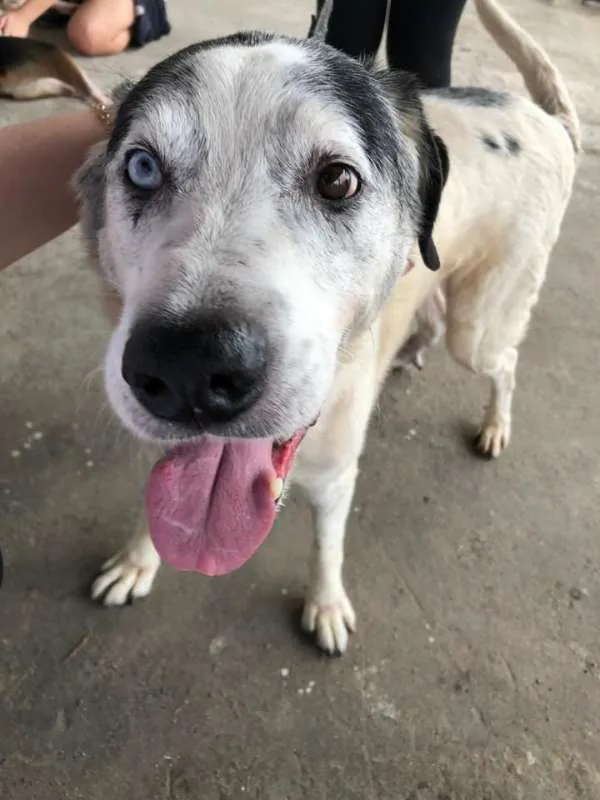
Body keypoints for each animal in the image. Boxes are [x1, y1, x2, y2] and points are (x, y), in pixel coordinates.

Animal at [67, 0, 580, 652]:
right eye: (141, 167)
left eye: (338, 179)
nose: (189, 369)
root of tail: (543, 119)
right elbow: (153, 505)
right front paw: (137, 562)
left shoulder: (337, 476)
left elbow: (325, 546)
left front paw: (327, 606)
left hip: (482, 324)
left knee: (504, 363)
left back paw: (494, 426)